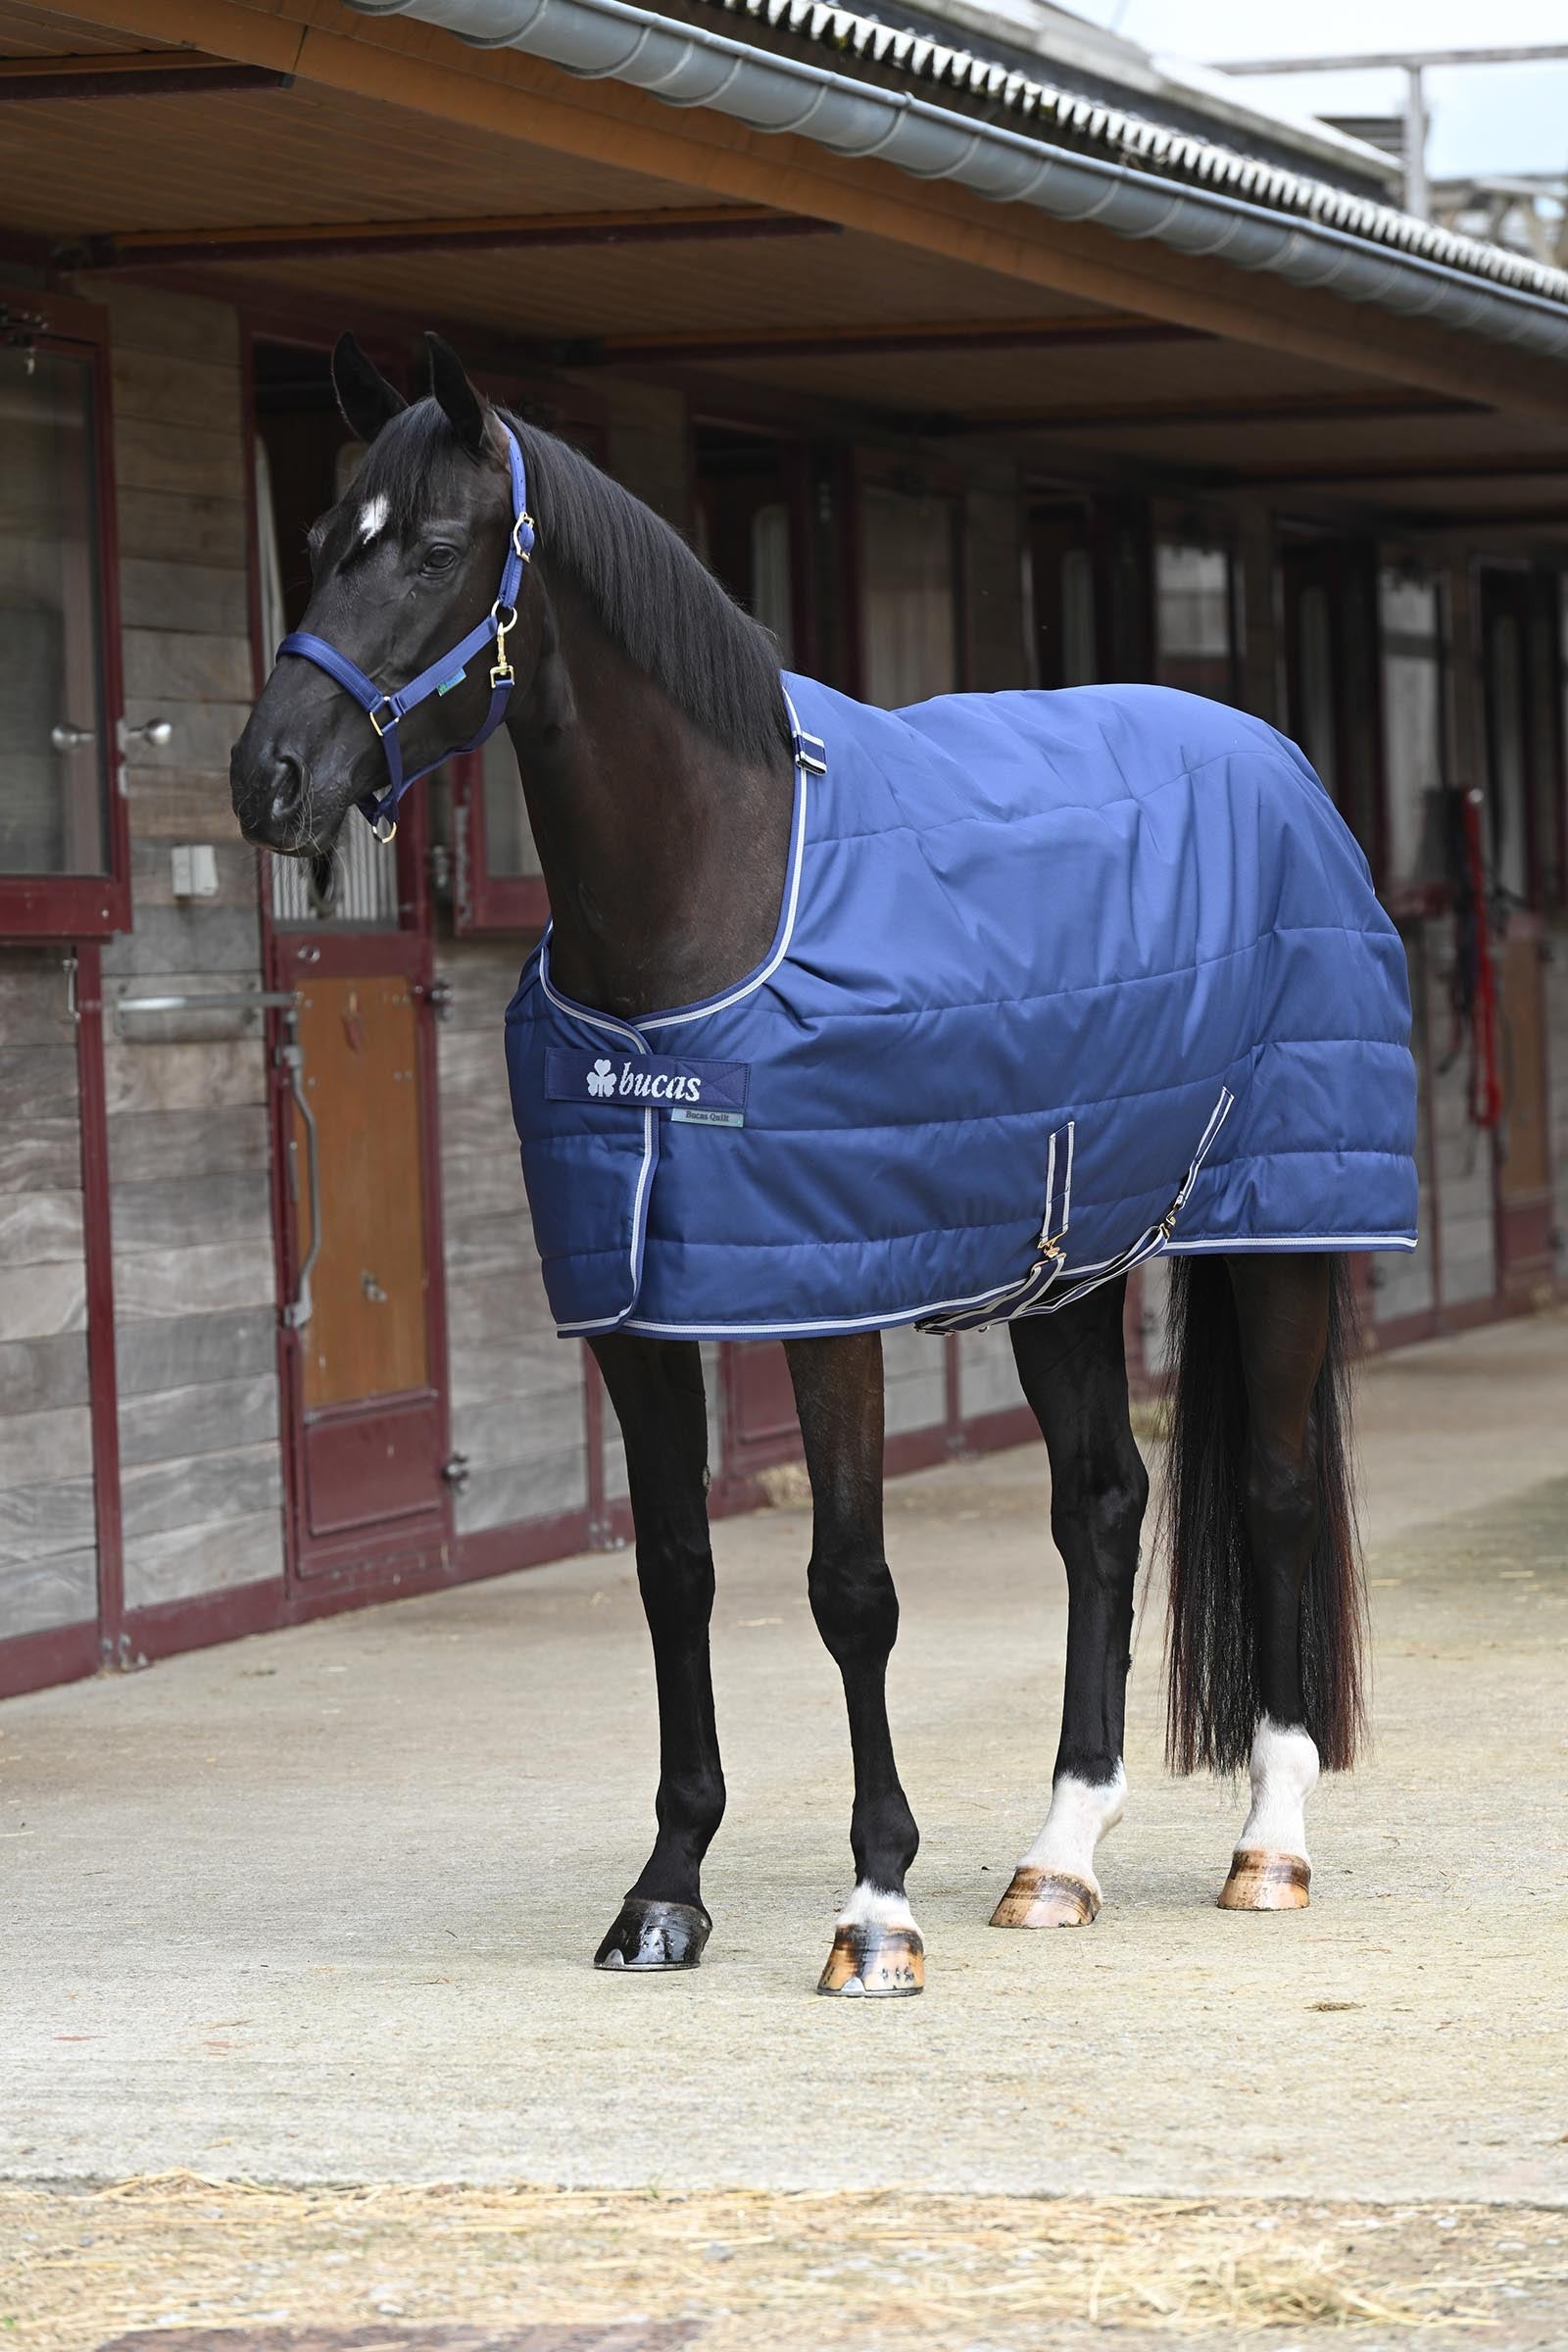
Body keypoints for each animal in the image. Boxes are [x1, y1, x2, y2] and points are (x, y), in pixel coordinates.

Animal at [231, 332, 1418, 1999]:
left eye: (438, 547)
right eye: (328, 534)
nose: (267, 777)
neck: (714, 897)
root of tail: (1284, 766)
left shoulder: (825, 1302)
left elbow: (851, 1590)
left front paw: (876, 1909)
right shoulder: (642, 1310)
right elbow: (675, 1574)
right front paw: (666, 1891)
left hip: (1282, 1233)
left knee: (1277, 1489)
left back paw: (1269, 1846)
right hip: (1064, 1265)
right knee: (1102, 1508)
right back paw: (1059, 1855)